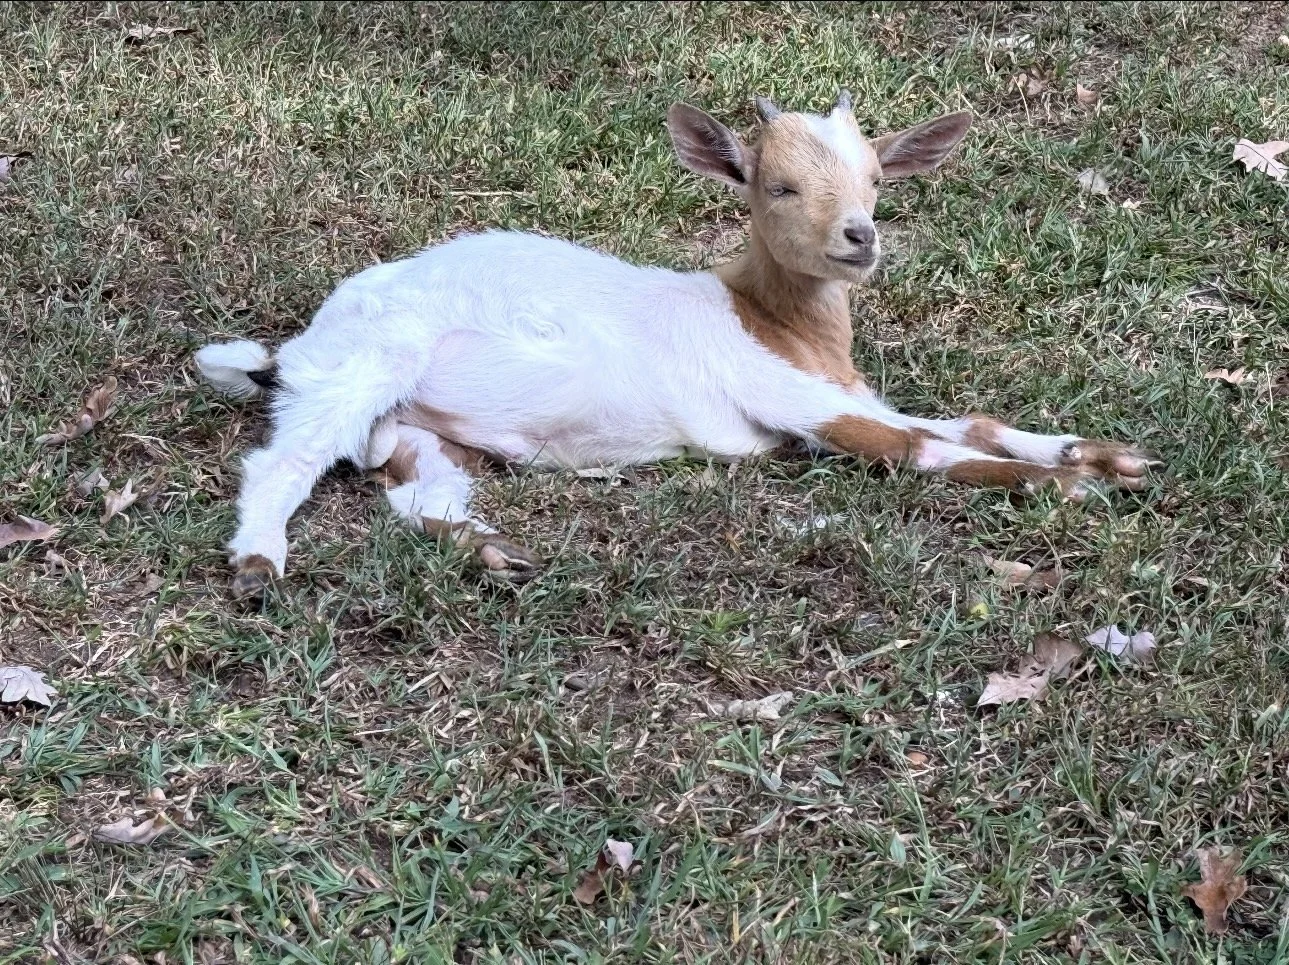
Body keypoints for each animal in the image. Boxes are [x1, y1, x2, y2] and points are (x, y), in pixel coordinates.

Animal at [196, 91, 1161, 600]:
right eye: (777, 184)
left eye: (877, 180)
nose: (859, 237)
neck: (768, 320)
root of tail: (298, 343)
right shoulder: (792, 398)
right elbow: (915, 447)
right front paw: (1063, 485)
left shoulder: (842, 387)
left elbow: (963, 422)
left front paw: (1103, 456)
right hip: (366, 365)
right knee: (284, 460)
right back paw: (257, 560)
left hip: (417, 427)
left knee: (415, 491)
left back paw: (492, 550)